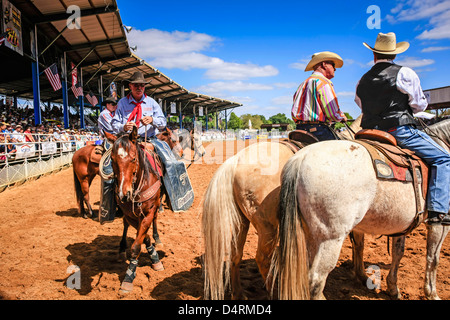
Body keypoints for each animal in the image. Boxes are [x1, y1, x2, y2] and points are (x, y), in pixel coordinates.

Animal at [103, 127, 163, 292]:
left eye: (133, 159)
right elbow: (142, 236)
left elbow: (137, 244)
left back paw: (157, 239)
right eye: (113, 160)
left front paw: (129, 277)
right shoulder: (131, 215)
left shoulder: (149, 212)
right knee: (125, 225)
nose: (123, 194)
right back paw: (122, 249)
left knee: (155, 219)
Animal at [202, 117, 360, 300]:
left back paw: (239, 294)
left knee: (236, 253)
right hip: (267, 227)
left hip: (241, 221)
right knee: (263, 259)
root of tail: (236, 161)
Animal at [274, 119, 450, 300]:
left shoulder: (402, 224)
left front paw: (393, 288)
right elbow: (433, 258)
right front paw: (432, 293)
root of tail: (299, 159)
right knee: (315, 281)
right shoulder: (441, 224)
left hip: (310, 233)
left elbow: (397, 252)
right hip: (330, 239)